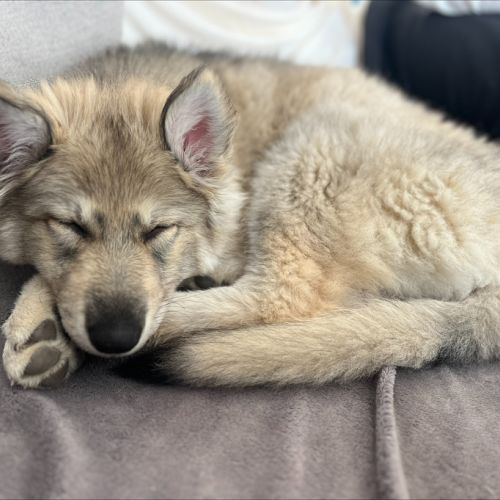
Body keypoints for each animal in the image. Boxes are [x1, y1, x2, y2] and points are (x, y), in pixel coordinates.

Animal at [1, 43, 500, 389]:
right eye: (70, 226)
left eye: (160, 230)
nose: (115, 337)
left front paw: (36, 320)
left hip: (309, 154)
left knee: (280, 296)